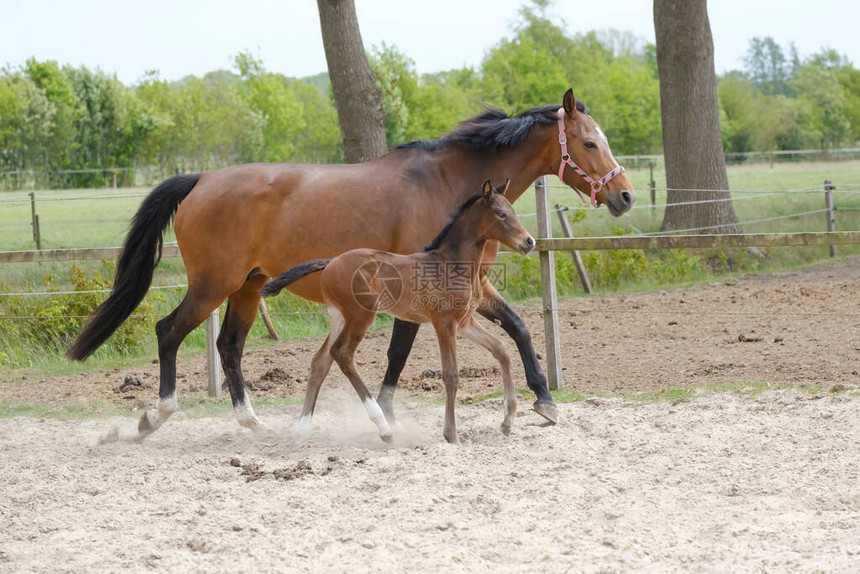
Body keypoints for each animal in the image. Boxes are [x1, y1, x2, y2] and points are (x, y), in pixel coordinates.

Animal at [65, 89, 632, 440]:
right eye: (589, 142)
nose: (624, 195)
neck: (448, 186)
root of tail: (200, 179)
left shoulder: (473, 287)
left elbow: (518, 326)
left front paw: (544, 399)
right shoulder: (420, 292)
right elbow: (399, 354)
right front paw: (387, 415)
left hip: (248, 287)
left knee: (229, 346)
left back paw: (253, 422)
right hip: (212, 284)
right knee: (169, 331)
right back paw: (156, 416)